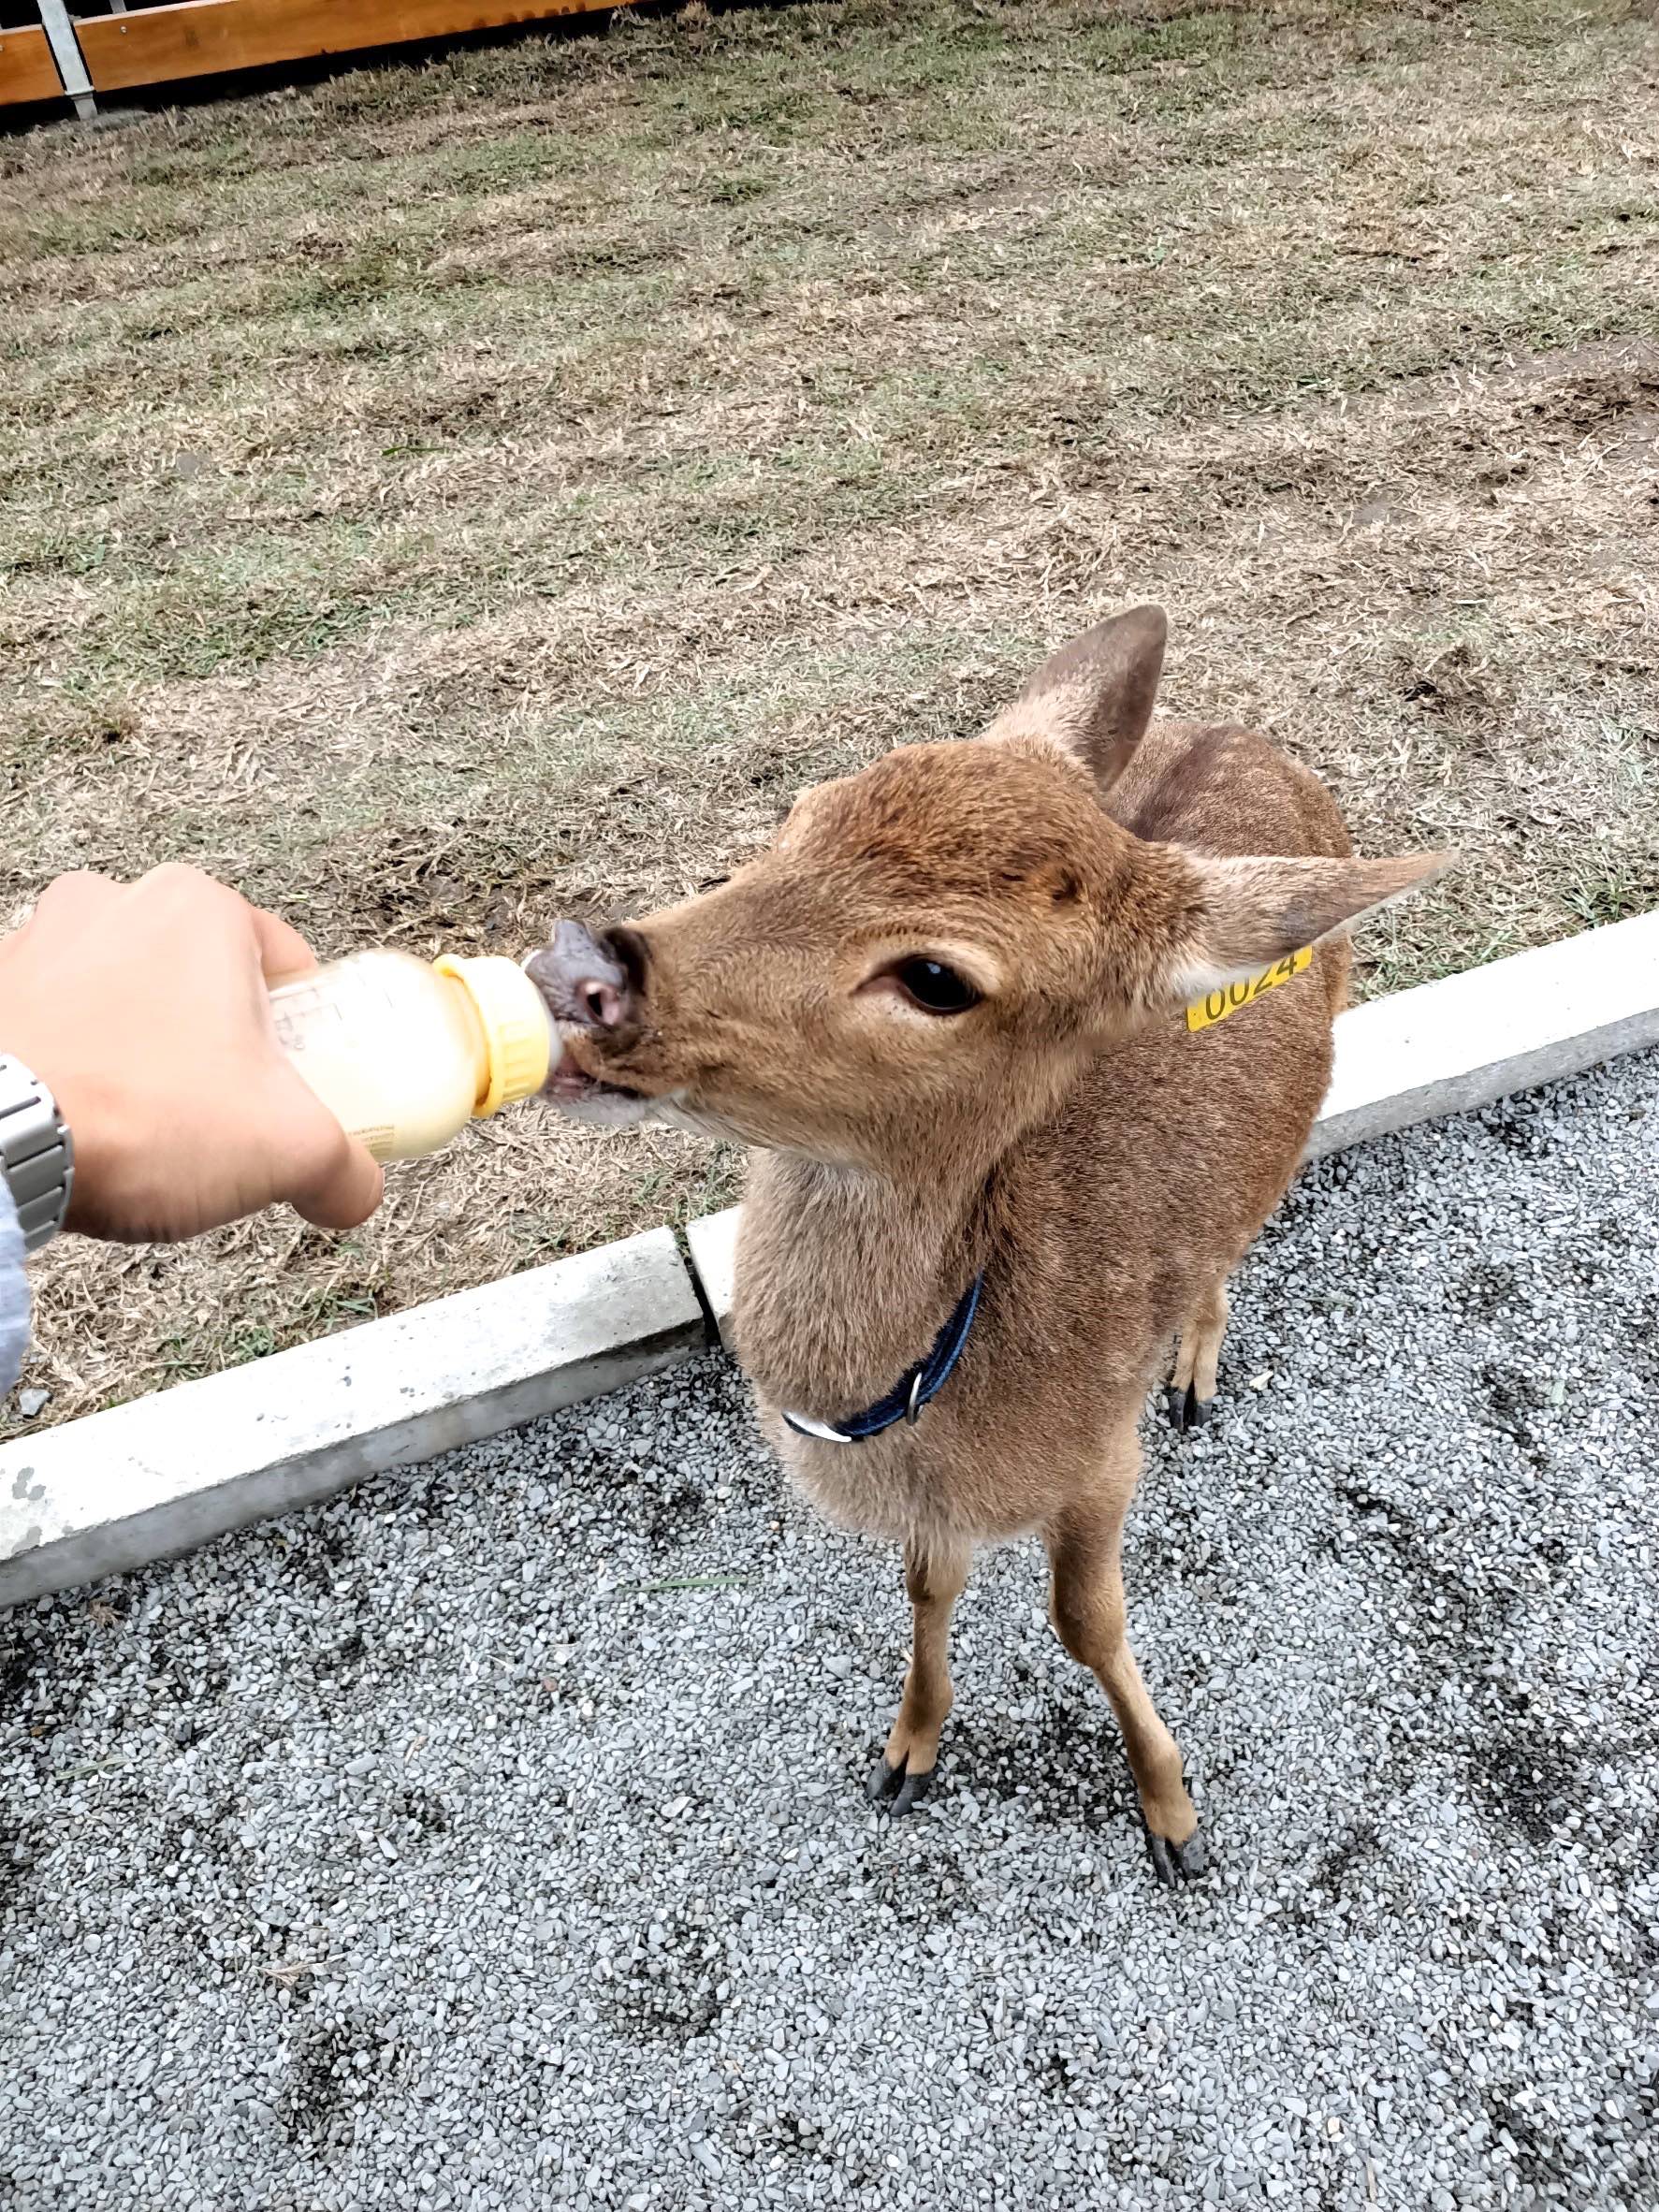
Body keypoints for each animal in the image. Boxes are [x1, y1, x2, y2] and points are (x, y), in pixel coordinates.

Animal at [526, 610, 1450, 1885]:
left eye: (935, 977)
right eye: (805, 809)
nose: (585, 972)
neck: (942, 1401)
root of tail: (1247, 736)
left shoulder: (1101, 1450)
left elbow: (1086, 1623)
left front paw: (1174, 1814)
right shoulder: (939, 1512)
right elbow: (927, 1585)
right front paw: (907, 1752)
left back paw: (1196, 1371)